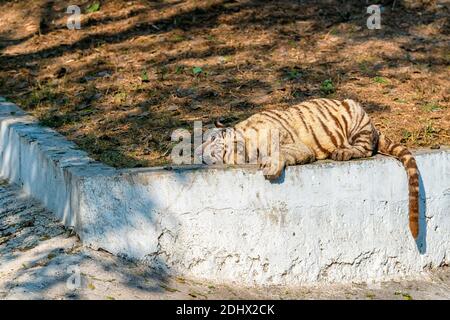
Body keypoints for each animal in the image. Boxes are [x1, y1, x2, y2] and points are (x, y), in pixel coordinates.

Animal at [199, 99, 420, 239]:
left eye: (211, 138)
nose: (199, 153)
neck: (247, 150)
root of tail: (374, 126)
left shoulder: (296, 145)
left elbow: (280, 152)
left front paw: (271, 166)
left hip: (355, 116)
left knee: (366, 149)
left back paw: (342, 152)